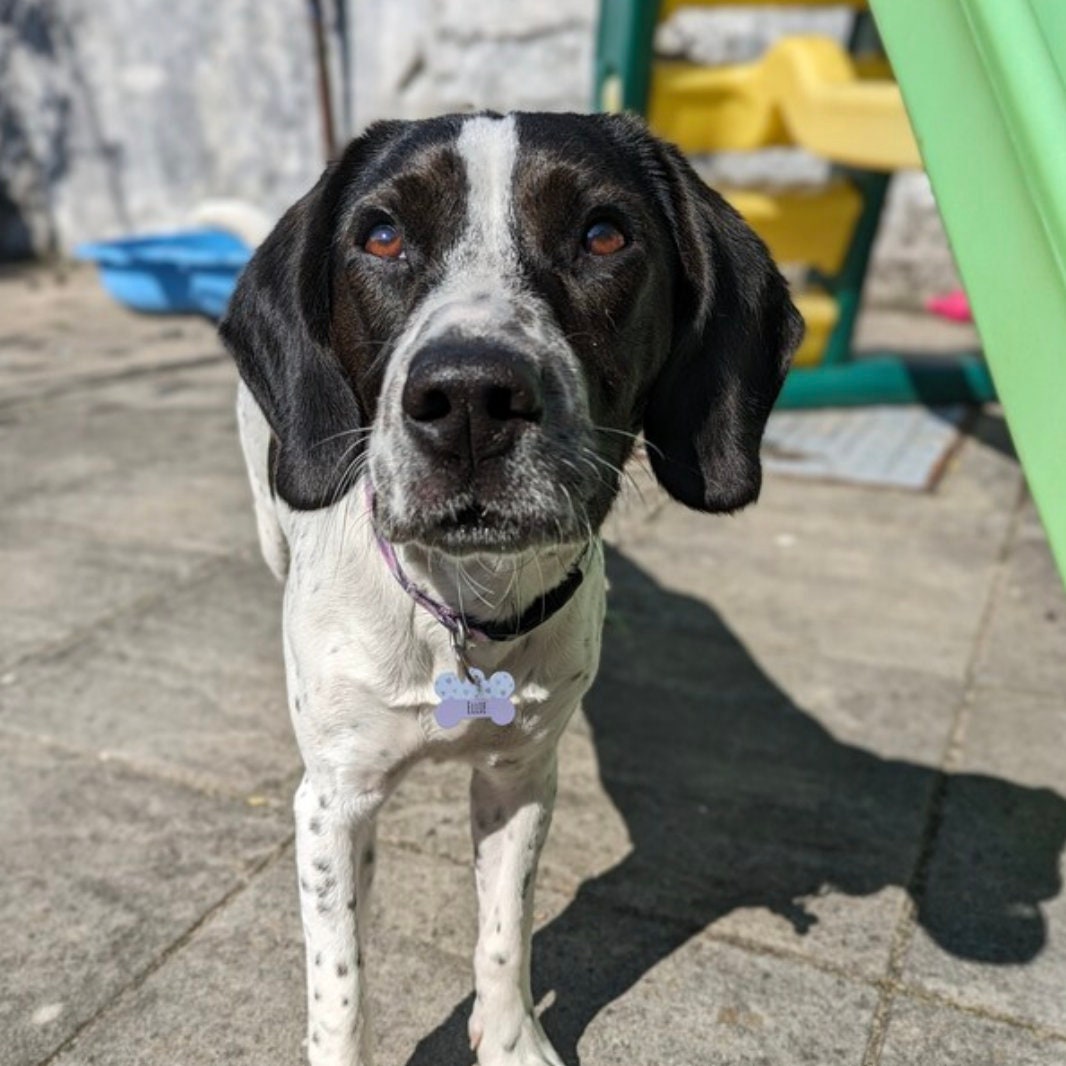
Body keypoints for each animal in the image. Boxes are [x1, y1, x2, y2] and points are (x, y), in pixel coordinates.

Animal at [218, 110, 801, 1066]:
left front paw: (511, 1038)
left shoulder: (521, 779)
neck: (465, 612)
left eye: (604, 234)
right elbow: (340, 985)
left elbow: (504, 933)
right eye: (382, 236)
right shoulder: (331, 804)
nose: (468, 399)